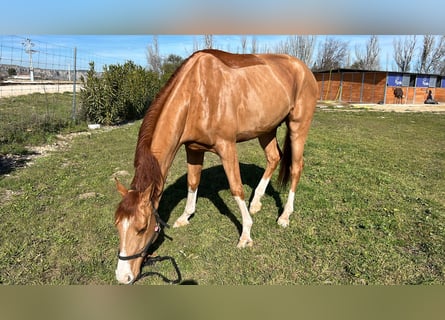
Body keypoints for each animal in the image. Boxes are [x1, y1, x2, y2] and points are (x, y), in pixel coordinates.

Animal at [112, 48, 318, 284]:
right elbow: (193, 182)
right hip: (266, 128)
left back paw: (285, 215)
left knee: (296, 166)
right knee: (274, 158)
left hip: (298, 126)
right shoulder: (193, 149)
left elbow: (236, 188)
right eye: (117, 225)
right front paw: (185, 216)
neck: (195, 95)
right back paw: (256, 202)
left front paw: (246, 235)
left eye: (142, 228)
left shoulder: (227, 147)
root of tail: (303, 68)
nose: (122, 276)